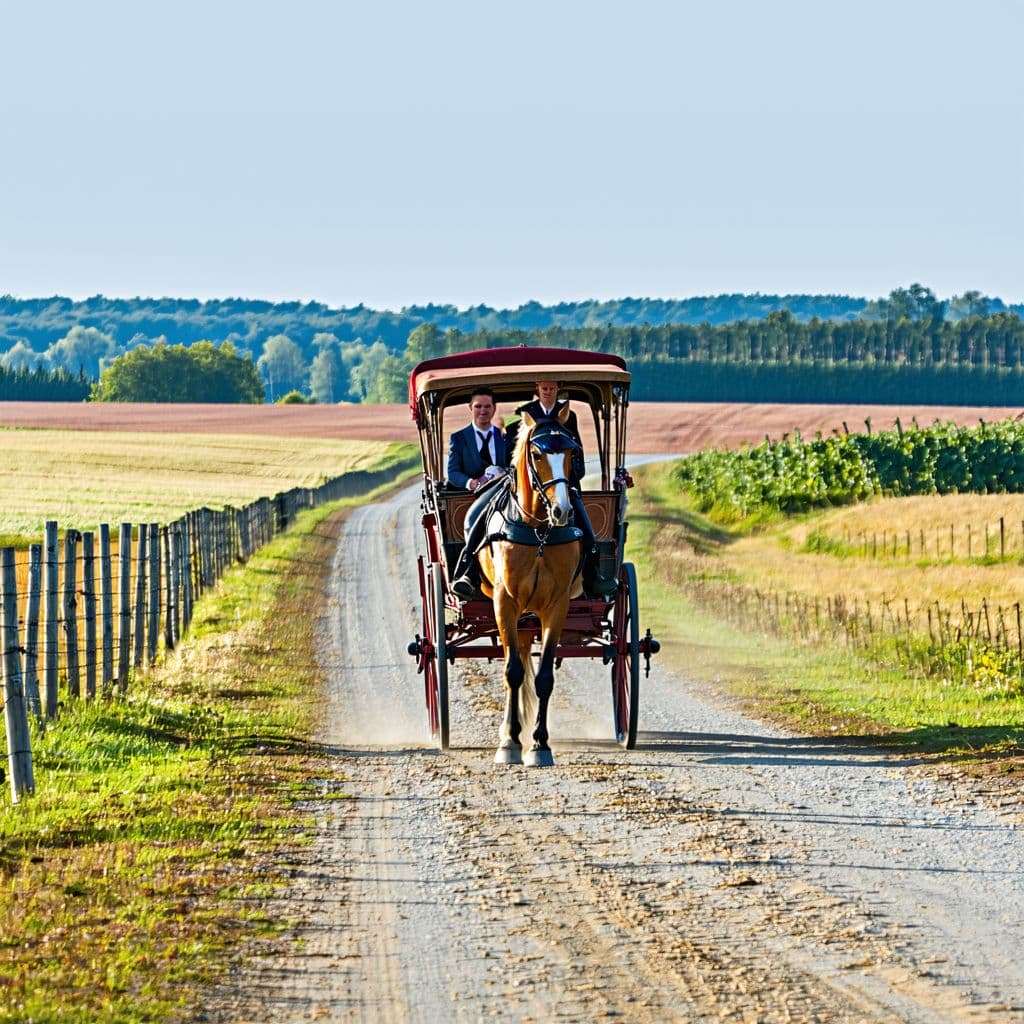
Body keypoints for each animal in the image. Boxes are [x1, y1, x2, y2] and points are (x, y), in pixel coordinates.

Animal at [477, 405, 584, 767]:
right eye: (537, 454)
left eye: (572, 453)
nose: (562, 510)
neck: (538, 531)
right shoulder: (504, 601)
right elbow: (512, 672)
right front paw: (509, 743)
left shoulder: (557, 606)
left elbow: (544, 677)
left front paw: (539, 744)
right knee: (513, 664)